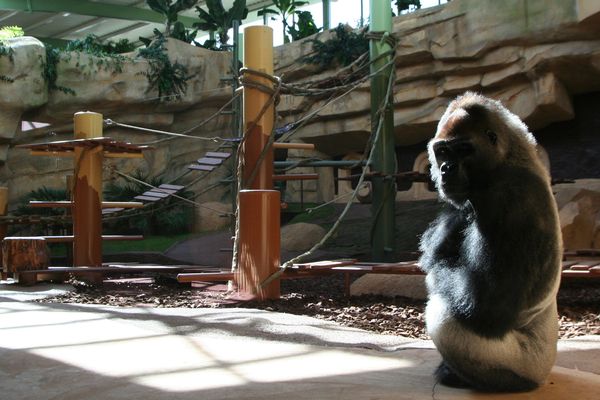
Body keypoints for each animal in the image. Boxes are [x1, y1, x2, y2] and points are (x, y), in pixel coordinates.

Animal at [418, 92, 564, 392]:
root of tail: (545, 372)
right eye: (443, 151)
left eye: (463, 149)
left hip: (525, 366)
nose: (446, 169)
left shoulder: (507, 199)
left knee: (444, 315)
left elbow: (482, 307)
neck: (510, 158)